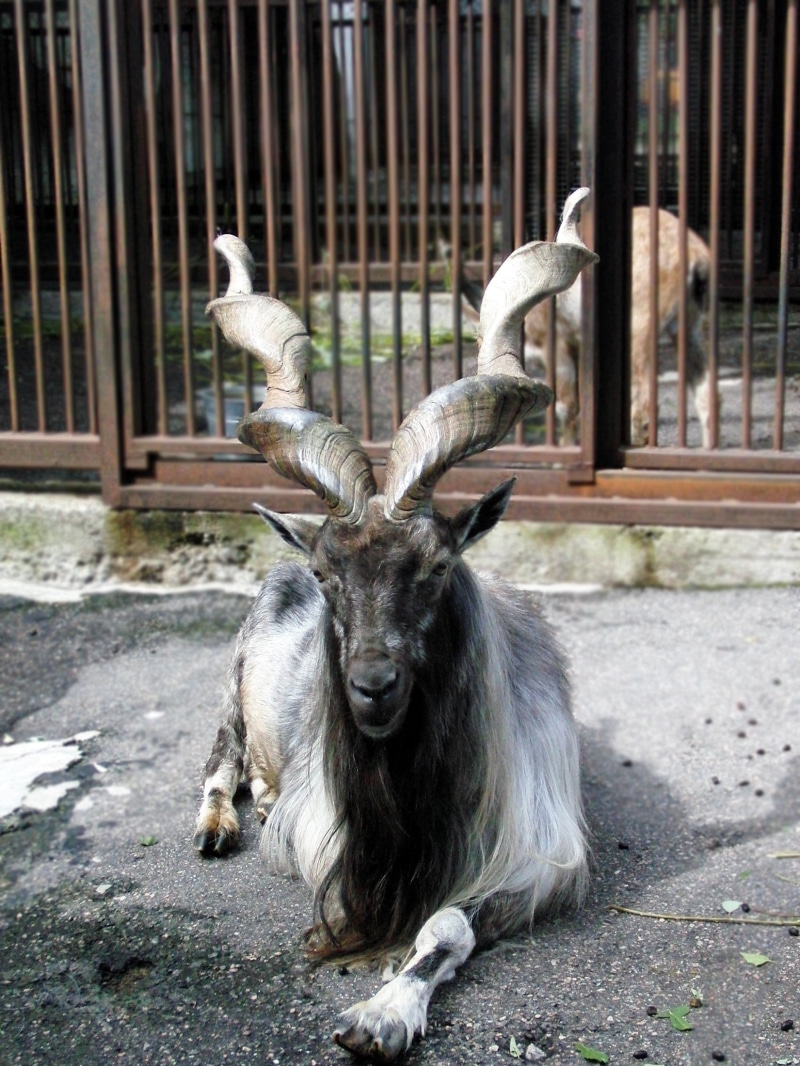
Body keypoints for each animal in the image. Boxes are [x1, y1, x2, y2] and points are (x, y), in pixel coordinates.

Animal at [193, 188, 598, 1062]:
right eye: (326, 574)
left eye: (438, 567)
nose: (373, 689)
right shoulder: (326, 832)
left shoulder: (536, 858)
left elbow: (446, 926)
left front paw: (381, 1016)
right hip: (231, 687)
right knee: (218, 765)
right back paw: (220, 823)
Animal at [463, 205, 715, 448]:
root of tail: (695, 255)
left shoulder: (559, 349)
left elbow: (566, 405)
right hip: (691, 327)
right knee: (707, 394)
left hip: (641, 330)